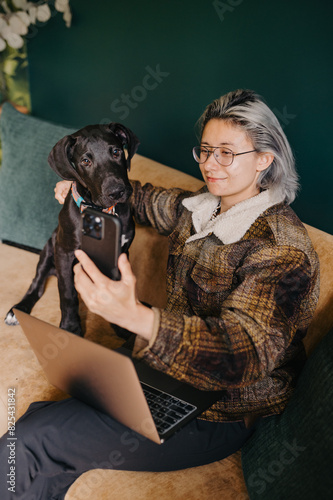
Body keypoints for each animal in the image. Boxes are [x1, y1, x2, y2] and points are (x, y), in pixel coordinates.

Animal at [5, 122, 139, 336]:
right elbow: (68, 293)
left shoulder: (121, 253)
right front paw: (70, 327)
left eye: (117, 152)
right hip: (49, 247)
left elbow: (118, 285)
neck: (101, 212)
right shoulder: (65, 252)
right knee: (37, 285)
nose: (116, 191)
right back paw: (18, 309)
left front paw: (121, 321)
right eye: (85, 161)